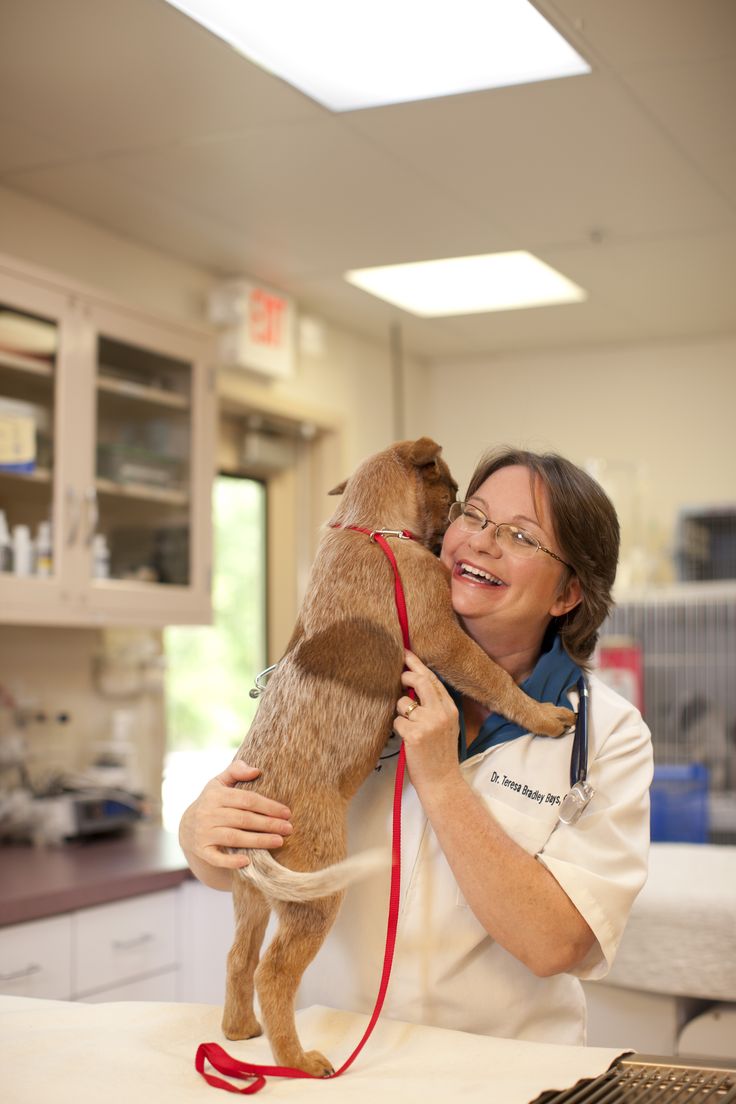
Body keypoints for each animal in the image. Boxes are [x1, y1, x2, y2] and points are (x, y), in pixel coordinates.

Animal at [225, 434, 573, 1073]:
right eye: (454, 489)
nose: (460, 513)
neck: (370, 529)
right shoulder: (442, 635)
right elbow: (494, 678)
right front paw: (545, 715)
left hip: (252, 898)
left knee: (239, 957)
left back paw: (239, 1033)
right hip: (315, 896)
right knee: (274, 974)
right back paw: (300, 1061)